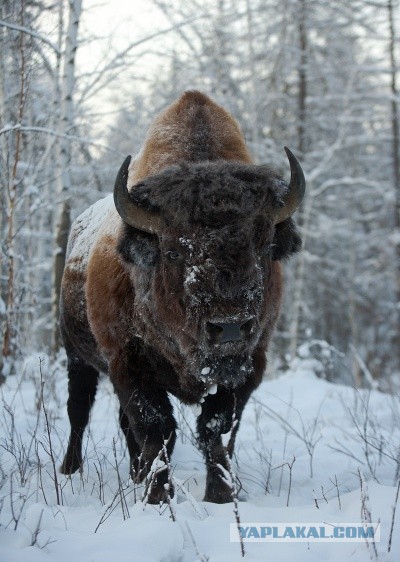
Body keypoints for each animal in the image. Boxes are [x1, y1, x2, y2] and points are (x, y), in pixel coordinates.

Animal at [59, 89, 304, 500]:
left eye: (266, 244)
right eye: (173, 251)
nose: (230, 327)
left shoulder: (251, 363)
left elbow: (214, 428)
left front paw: (221, 494)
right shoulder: (127, 364)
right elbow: (158, 429)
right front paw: (158, 496)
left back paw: (134, 473)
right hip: (76, 355)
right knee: (78, 410)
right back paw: (70, 471)